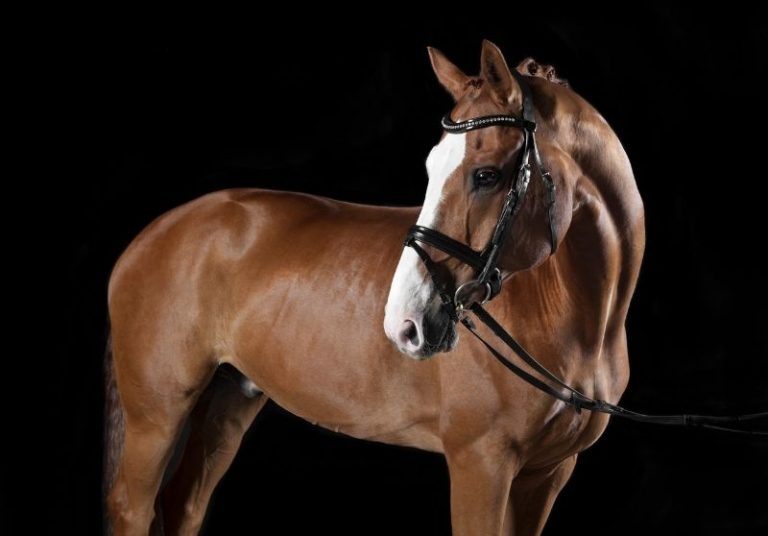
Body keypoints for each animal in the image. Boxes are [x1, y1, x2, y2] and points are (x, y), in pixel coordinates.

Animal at [104, 40, 644, 535]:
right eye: (430, 169)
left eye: (486, 174)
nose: (404, 324)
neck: (573, 320)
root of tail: (153, 234)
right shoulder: (482, 463)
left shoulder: (546, 474)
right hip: (157, 416)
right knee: (132, 509)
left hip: (228, 402)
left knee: (182, 507)